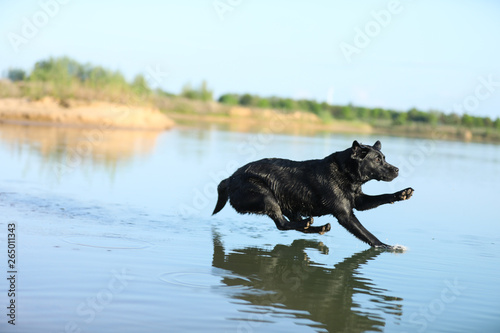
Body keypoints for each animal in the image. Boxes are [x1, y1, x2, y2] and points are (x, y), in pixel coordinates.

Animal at [214, 139, 414, 246]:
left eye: (384, 158)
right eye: (377, 160)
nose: (396, 170)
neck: (344, 172)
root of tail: (230, 178)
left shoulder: (359, 201)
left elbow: (383, 197)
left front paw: (403, 193)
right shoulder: (345, 215)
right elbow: (368, 235)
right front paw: (388, 247)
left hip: (288, 205)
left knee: (292, 225)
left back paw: (316, 227)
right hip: (265, 196)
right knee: (282, 224)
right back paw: (309, 224)